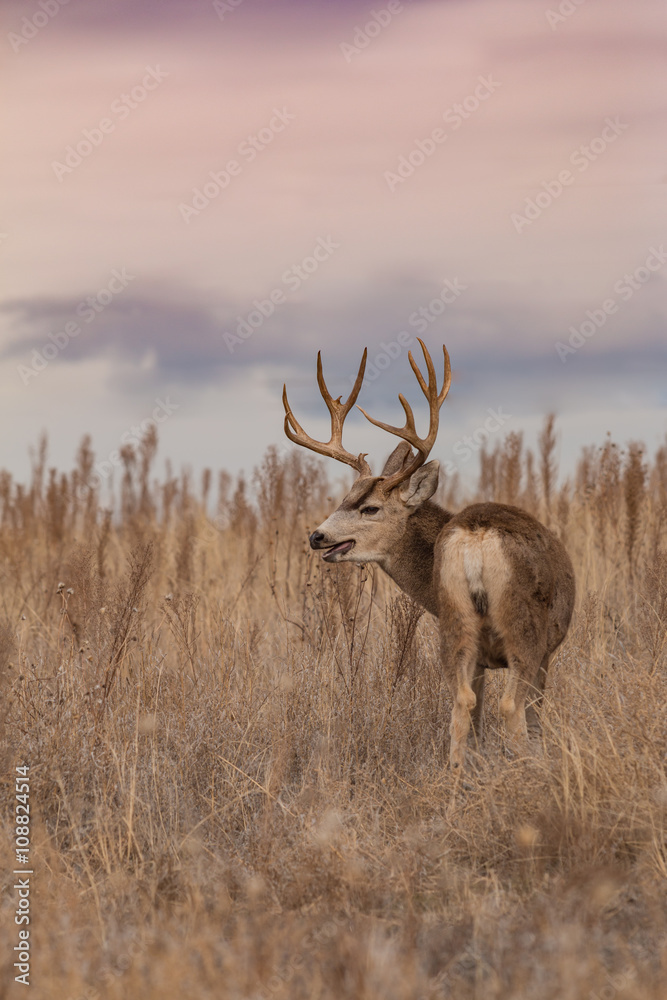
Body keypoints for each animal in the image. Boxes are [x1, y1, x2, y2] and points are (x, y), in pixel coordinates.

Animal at [282, 340, 576, 768]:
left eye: (368, 508)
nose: (317, 536)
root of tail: (475, 536)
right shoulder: (548, 650)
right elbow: (533, 718)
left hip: (456, 623)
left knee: (461, 704)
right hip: (524, 629)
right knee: (510, 707)